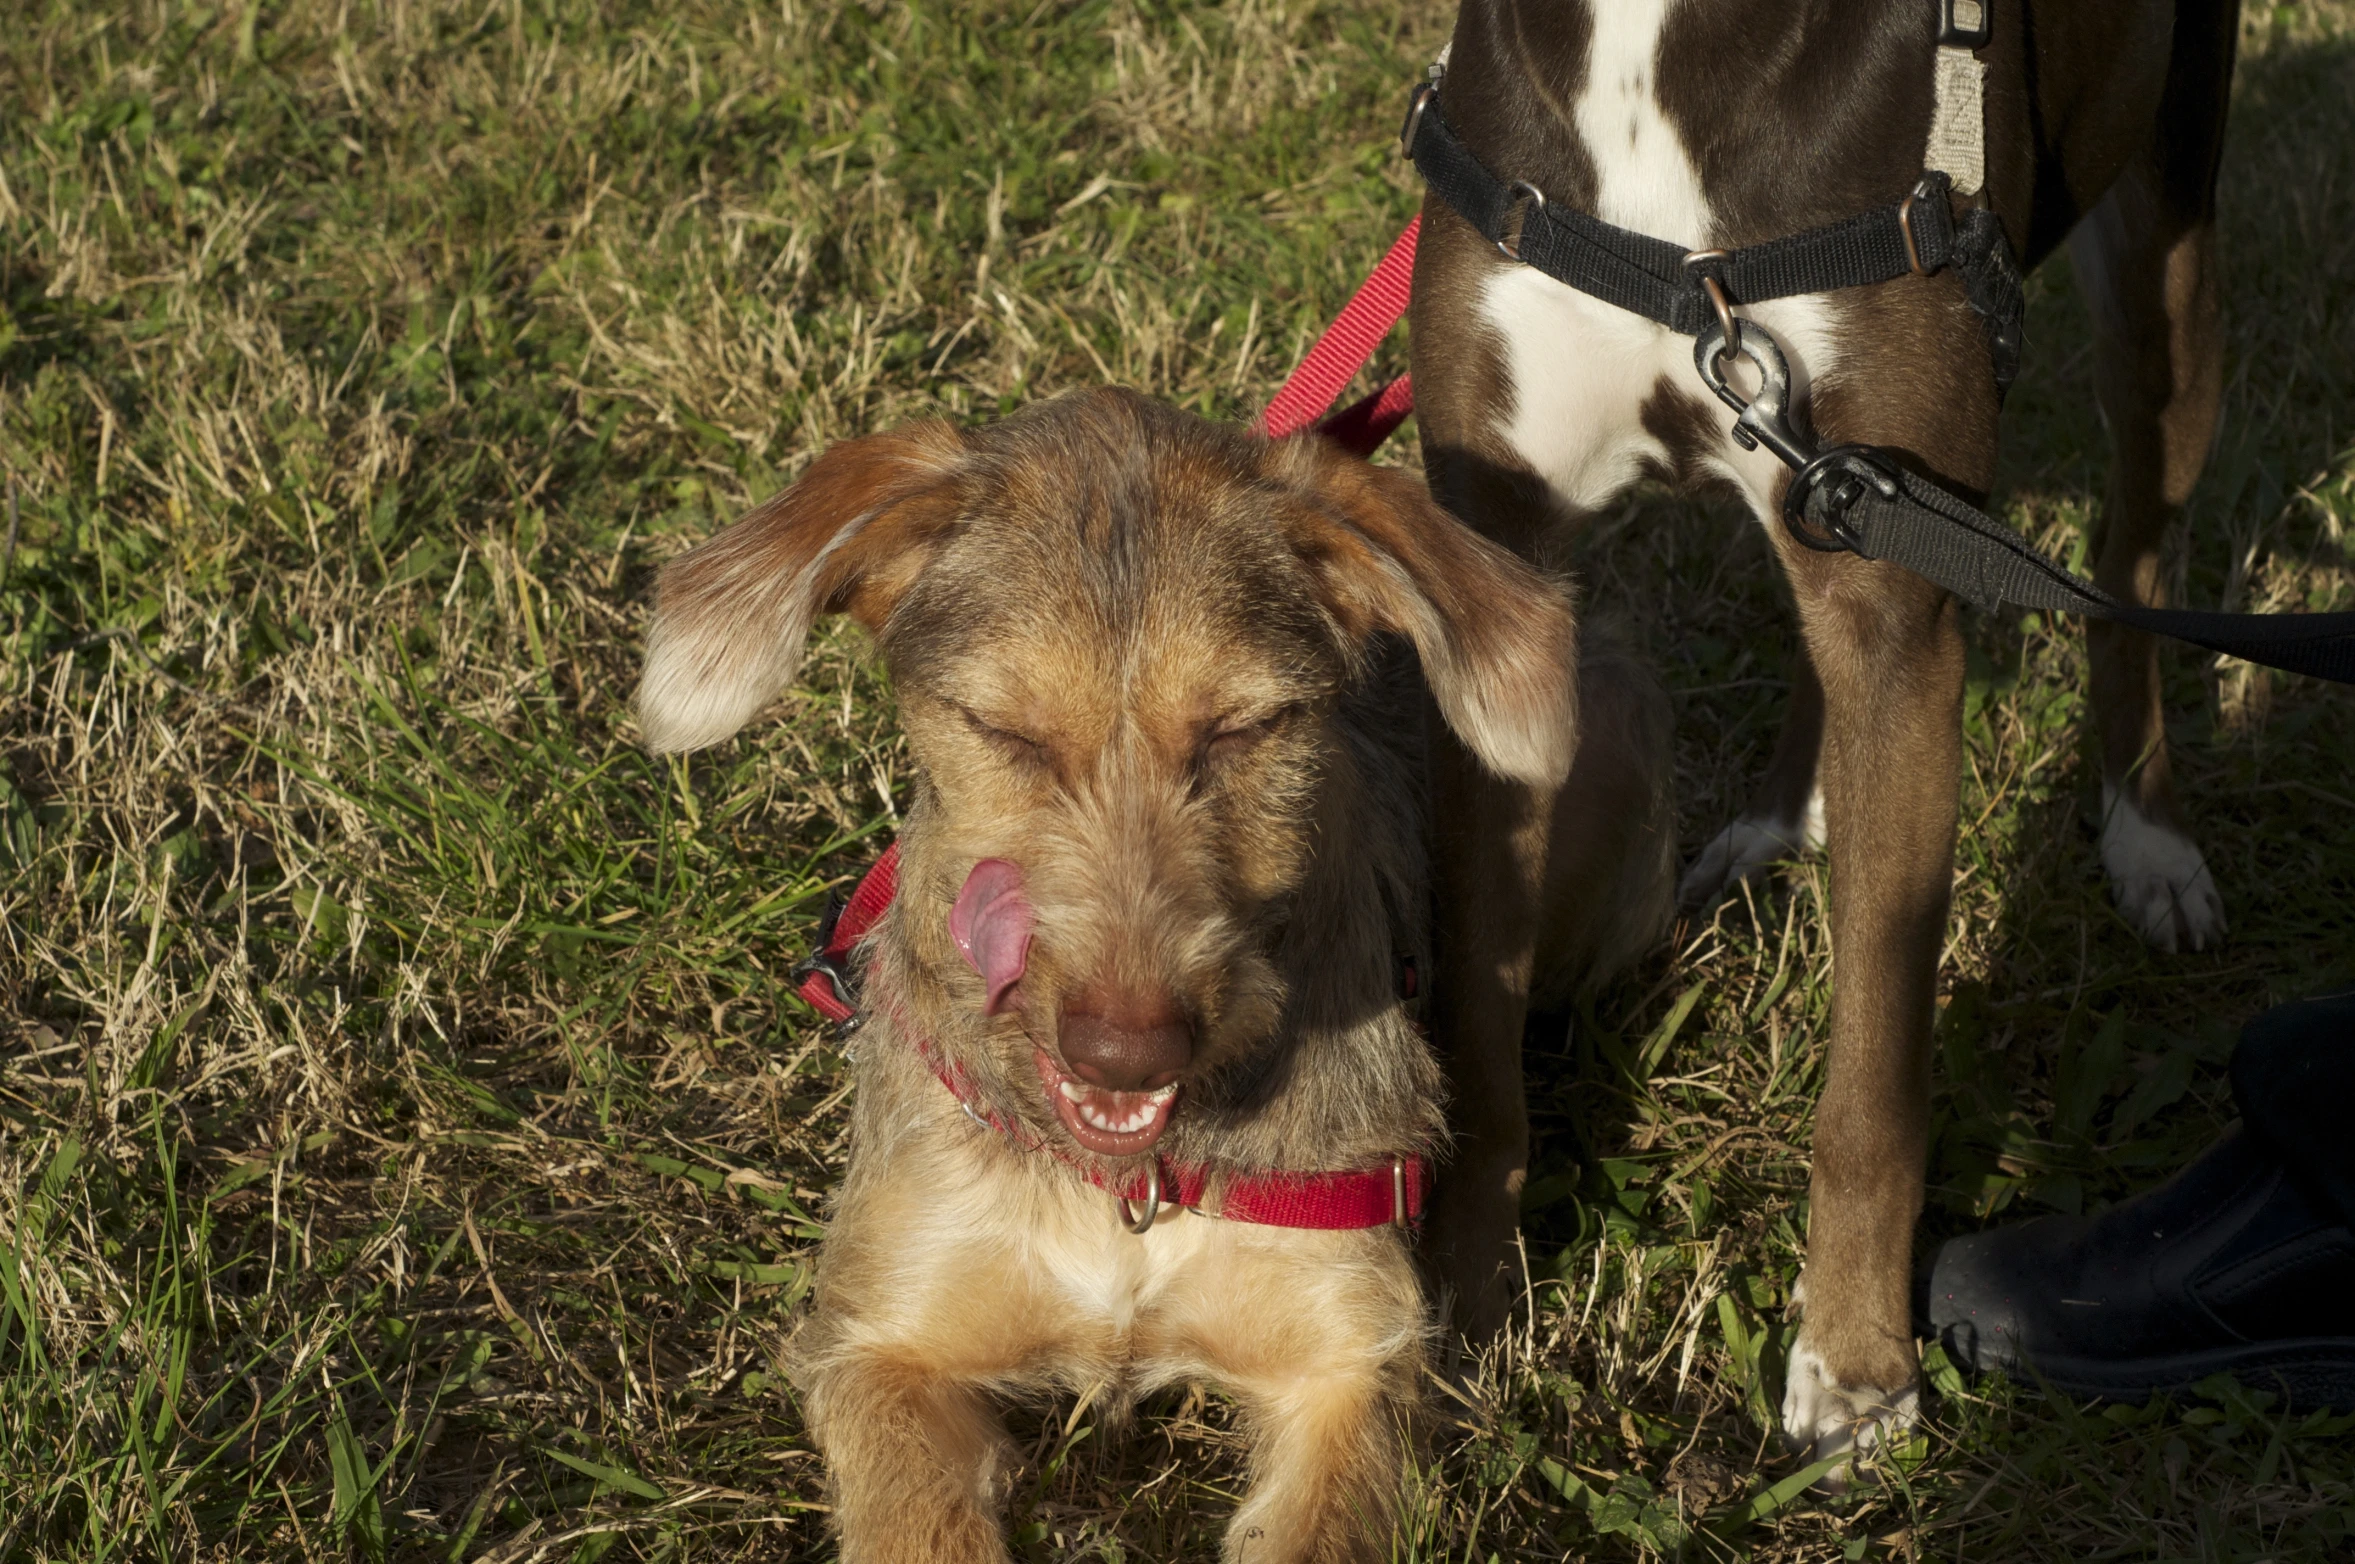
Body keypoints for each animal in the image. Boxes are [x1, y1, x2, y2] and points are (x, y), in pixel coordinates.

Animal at [645, 381, 1676, 1564]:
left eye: (1249, 727)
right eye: (1003, 730)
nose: (1127, 1049)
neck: (1131, 1188)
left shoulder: (1347, 1358)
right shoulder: (883, 1339)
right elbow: (916, 1520)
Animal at [1403, 0, 2232, 1469]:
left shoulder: (1894, 602)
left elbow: (1873, 1081)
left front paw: (1853, 1362)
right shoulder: (1499, 565)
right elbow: (1479, 1009)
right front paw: (1455, 1312)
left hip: (2167, 266)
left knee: (2132, 553)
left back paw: (2146, 836)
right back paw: (1789, 815)